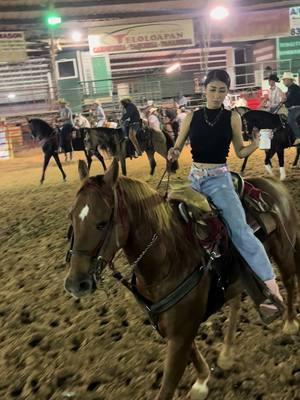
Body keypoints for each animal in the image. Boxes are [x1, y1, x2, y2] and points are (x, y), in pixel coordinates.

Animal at [63, 159, 300, 400]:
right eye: (71, 217)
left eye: (102, 223)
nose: (76, 284)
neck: (169, 258)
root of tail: (272, 183)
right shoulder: (174, 328)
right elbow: (193, 352)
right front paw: (202, 380)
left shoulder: (180, 333)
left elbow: (168, 387)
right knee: (236, 302)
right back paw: (227, 352)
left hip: (284, 251)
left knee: (289, 282)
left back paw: (289, 321)